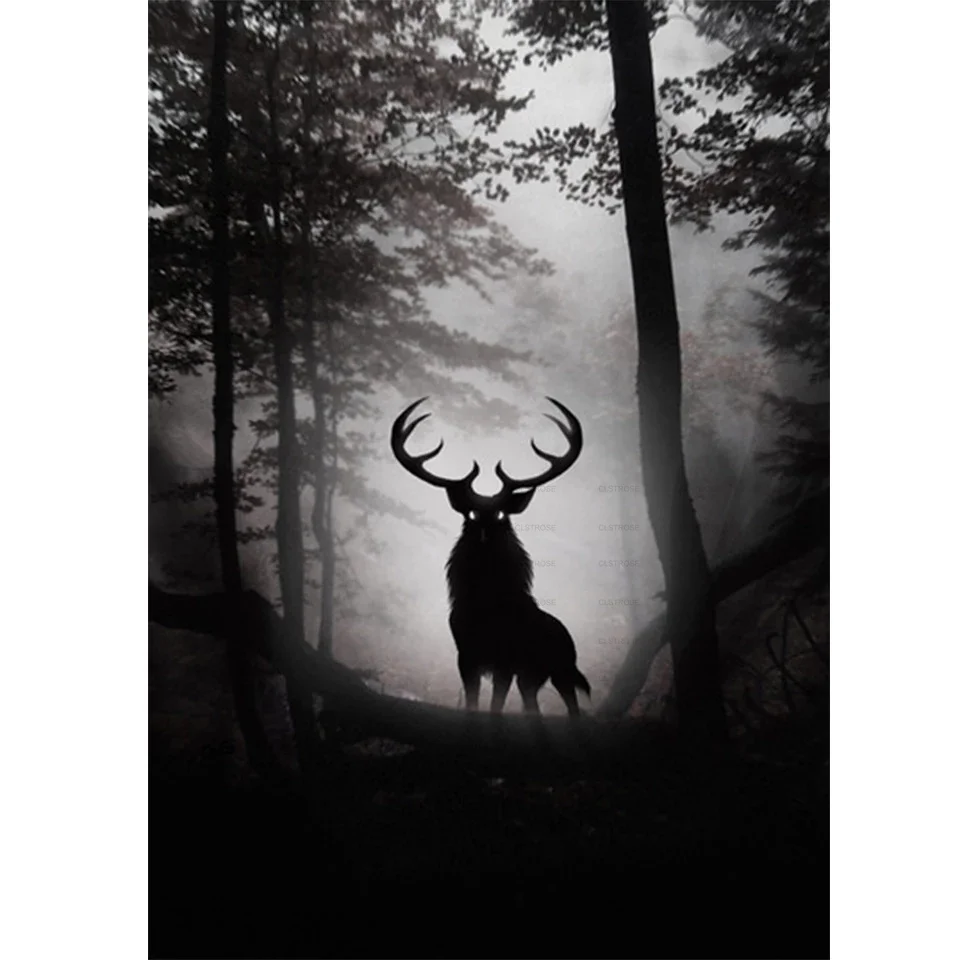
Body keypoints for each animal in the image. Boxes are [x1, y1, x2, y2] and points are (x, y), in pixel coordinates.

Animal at [391, 397, 591, 717]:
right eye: (471, 513)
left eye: (500, 514)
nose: (484, 532)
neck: (486, 606)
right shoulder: (465, 655)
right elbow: (473, 701)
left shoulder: (505, 660)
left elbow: (496, 705)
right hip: (533, 677)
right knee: (532, 705)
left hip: (561, 669)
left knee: (572, 706)